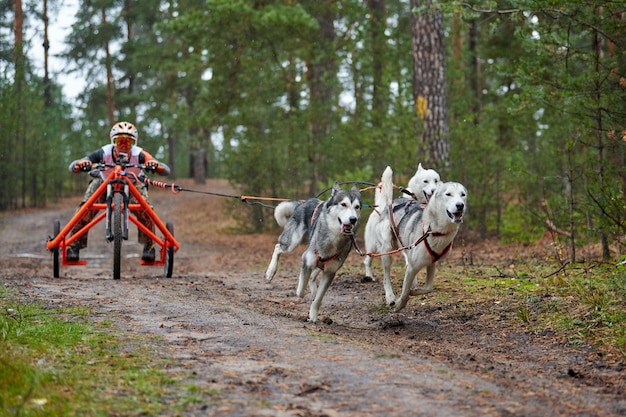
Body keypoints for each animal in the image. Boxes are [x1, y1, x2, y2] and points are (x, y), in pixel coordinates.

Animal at [264, 182, 360, 322]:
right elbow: (300, 291)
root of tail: (304, 202)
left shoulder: (330, 272)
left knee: (314, 274)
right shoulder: (306, 260)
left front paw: (313, 314)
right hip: (292, 242)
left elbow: (319, 298)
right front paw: (305, 293)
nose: (353, 219)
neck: (334, 239)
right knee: (277, 247)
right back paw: (270, 271)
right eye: (343, 204)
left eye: (357, 207)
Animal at [366, 165, 464, 308]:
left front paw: (414, 288)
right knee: (380, 271)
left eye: (436, 180)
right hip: (384, 249)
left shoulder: (425, 260)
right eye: (425, 181)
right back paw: (387, 294)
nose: (460, 205)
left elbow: (426, 286)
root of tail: (388, 204)